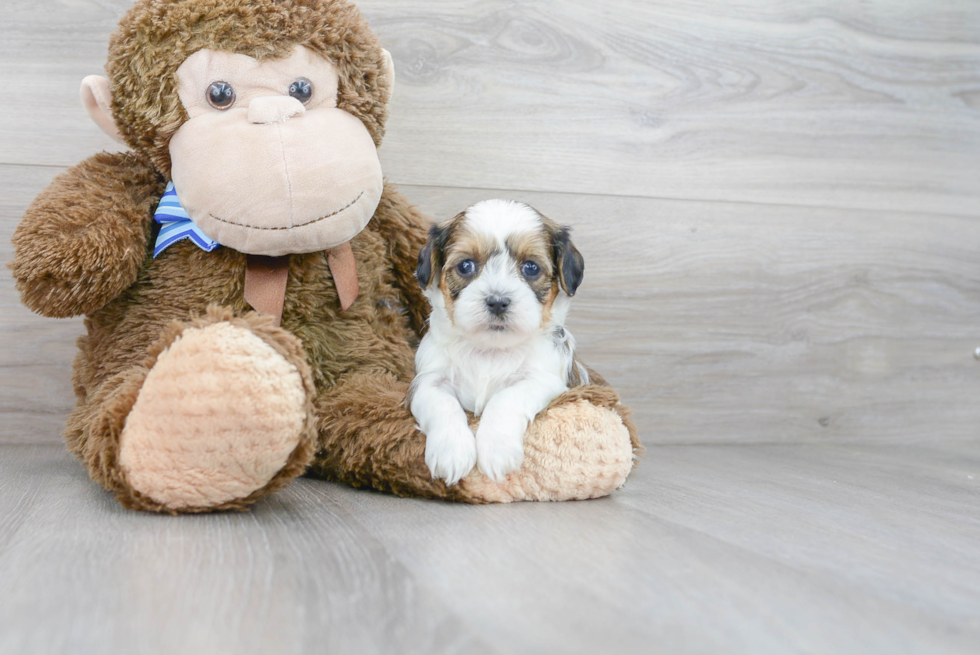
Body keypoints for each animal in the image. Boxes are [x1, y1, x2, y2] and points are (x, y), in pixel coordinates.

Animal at [408, 201, 584, 486]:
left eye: (531, 268)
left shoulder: (544, 380)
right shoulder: (427, 380)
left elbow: (506, 398)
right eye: (465, 266)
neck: (490, 350)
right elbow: (442, 404)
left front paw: (497, 451)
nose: (498, 301)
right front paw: (451, 451)